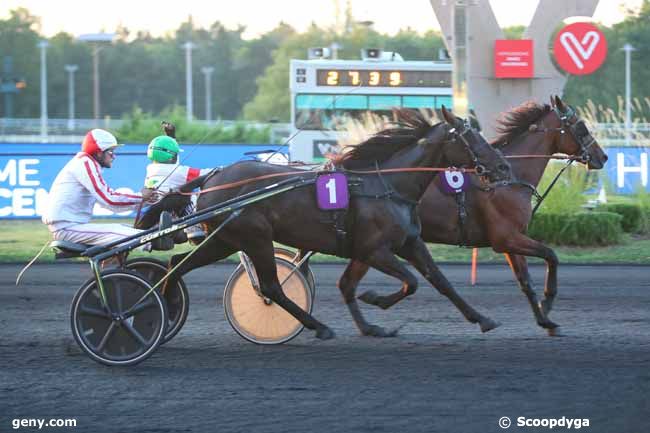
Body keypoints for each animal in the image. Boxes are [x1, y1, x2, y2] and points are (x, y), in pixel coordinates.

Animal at [163, 107, 512, 338]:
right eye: (472, 139)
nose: (503, 167)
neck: (387, 185)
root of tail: (212, 177)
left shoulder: (406, 243)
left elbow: (439, 280)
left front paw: (482, 318)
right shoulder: (375, 250)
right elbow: (410, 282)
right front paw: (375, 300)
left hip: (225, 240)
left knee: (177, 264)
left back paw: (166, 301)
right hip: (255, 238)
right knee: (271, 286)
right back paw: (318, 326)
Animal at [346, 96, 604, 334]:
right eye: (581, 127)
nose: (602, 157)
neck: (509, 179)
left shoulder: (511, 241)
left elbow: (526, 281)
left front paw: (545, 320)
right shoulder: (507, 238)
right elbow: (552, 255)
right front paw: (547, 301)